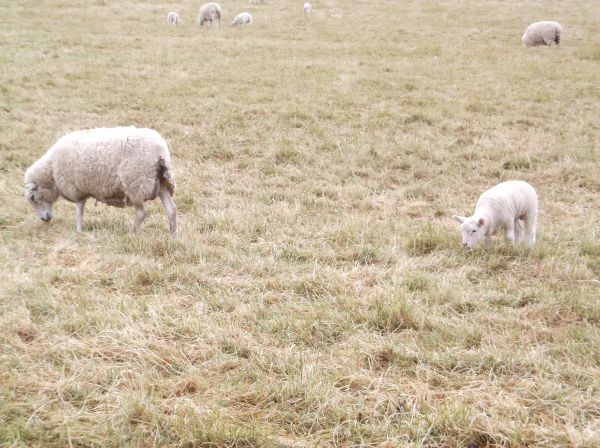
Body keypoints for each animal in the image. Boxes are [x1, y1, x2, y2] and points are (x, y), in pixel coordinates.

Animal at [24, 127, 178, 234]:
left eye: (33, 198)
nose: (44, 219)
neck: (52, 170)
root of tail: (160, 152)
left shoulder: (77, 189)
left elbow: (79, 210)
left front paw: (78, 230)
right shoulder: (81, 188)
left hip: (135, 183)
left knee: (141, 213)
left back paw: (132, 233)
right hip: (161, 183)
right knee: (171, 210)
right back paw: (172, 235)